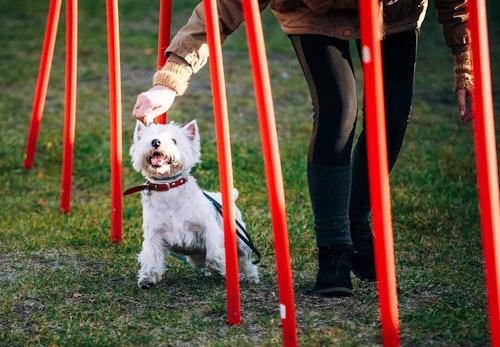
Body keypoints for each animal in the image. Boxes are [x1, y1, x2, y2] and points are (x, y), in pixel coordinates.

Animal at [127, 121, 260, 290]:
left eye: (174, 140)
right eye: (149, 137)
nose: (156, 142)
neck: (168, 188)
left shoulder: (208, 227)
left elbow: (214, 253)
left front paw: (220, 266)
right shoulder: (154, 234)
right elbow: (152, 257)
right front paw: (147, 278)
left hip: (241, 239)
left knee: (245, 259)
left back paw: (249, 276)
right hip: (196, 256)